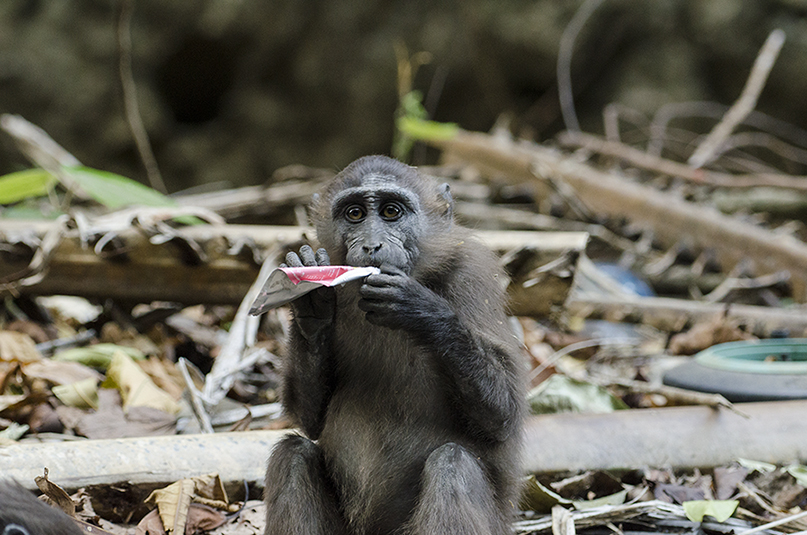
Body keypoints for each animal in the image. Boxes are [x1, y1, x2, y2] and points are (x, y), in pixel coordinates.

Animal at [262, 155, 528, 535]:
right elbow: (310, 419)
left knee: (452, 464)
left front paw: (421, 309)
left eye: (391, 211)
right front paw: (312, 302)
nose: (372, 245)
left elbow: (503, 417)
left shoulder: (473, 274)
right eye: (355, 214)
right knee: (293, 455)